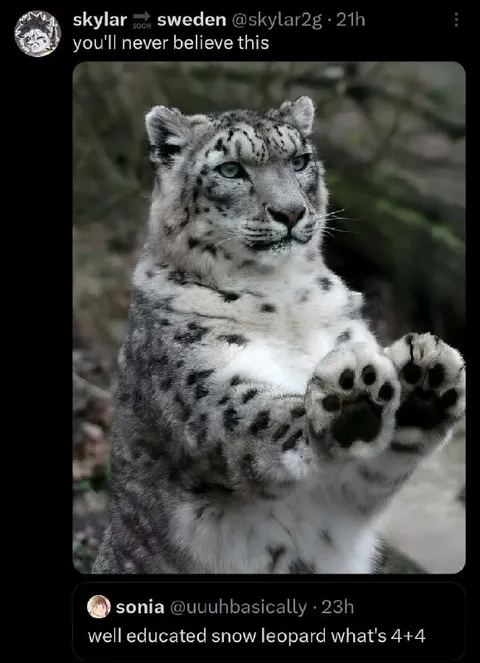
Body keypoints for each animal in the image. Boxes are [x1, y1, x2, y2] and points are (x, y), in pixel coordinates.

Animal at [92, 96, 465, 574]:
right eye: (231, 169)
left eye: (300, 160)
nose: (290, 212)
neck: (284, 299)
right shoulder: (200, 383)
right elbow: (256, 411)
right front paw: (353, 390)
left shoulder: (347, 493)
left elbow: (379, 466)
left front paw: (425, 379)